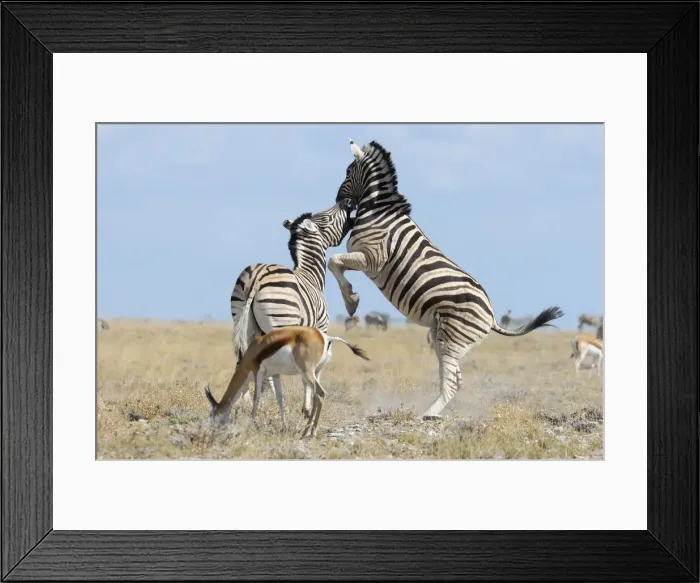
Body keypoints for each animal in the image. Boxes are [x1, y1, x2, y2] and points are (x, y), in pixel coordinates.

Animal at [230, 200, 354, 418]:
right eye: (326, 217)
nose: (346, 203)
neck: (311, 275)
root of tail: (257, 276)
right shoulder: (320, 328)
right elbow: (311, 370)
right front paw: (308, 408)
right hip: (279, 324)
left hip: (243, 322)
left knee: (245, 362)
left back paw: (242, 404)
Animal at [327, 139, 564, 420]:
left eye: (347, 172)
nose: (339, 201)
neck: (378, 212)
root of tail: (492, 315)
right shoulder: (365, 259)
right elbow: (336, 263)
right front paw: (351, 297)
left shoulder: (372, 258)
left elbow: (333, 261)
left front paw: (351, 300)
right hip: (442, 337)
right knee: (456, 380)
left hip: (452, 338)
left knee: (451, 382)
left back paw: (427, 415)